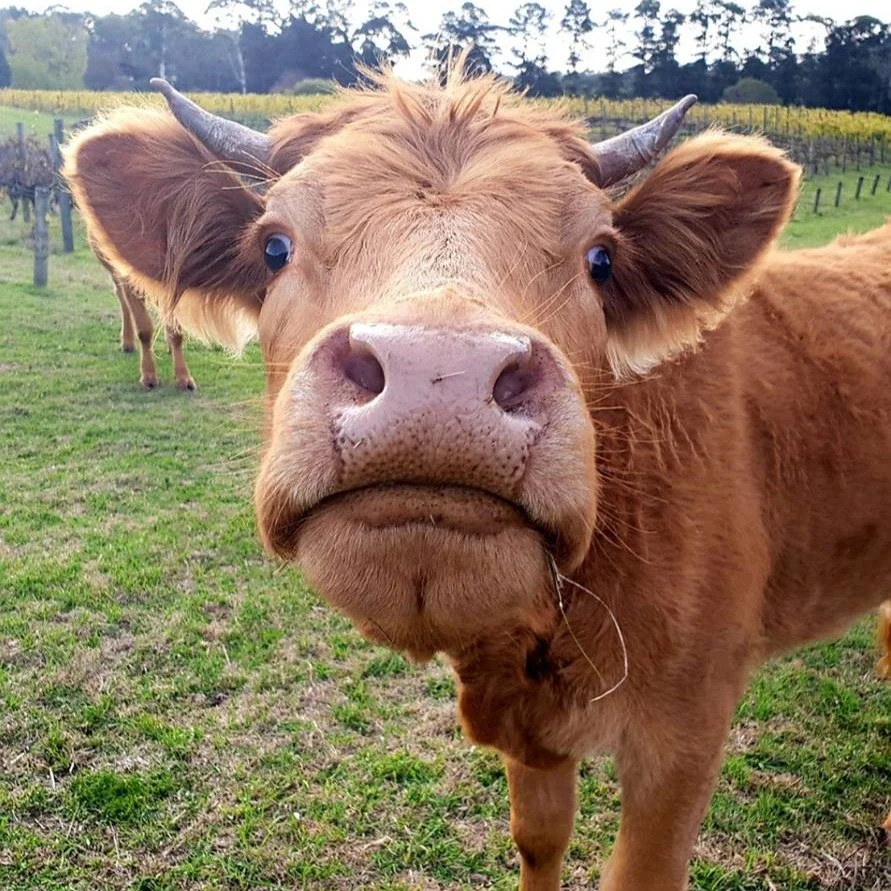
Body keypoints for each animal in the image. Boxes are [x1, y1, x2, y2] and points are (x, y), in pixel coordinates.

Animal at [64, 71, 891, 890]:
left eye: (600, 258)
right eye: (273, 245)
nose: (440, 374)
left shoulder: (684, 734)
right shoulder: (526, 725)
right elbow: (539, 838)